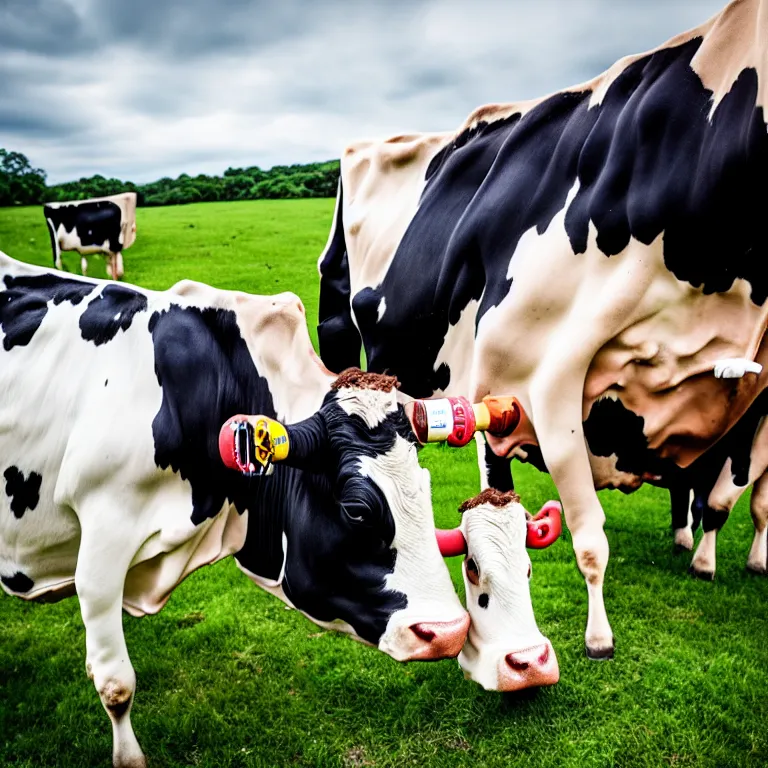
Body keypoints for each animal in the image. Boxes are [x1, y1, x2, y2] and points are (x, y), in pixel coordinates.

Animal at [316, 0, 768, 660]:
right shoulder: (540, 382)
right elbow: (589, 537)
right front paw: (598, 637)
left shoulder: (753, 400)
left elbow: (733, 497)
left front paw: (723, 559)